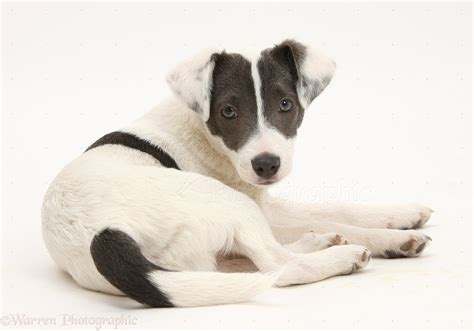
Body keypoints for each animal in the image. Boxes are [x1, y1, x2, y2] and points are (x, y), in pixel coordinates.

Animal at [42, 40, 432, 310]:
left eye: (286, 105)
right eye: (228, 111)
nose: (266, 164)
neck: (203, 133)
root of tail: (105, 233)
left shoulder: (265, 200)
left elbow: (334, 208)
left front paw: (403, 214)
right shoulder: (256, 204)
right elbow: (327, 218)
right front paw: (391, 238)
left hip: (200, 264)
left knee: (251, 265)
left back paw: (317, 242)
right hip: (228, 204)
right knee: (281, 267)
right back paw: (341, 255)